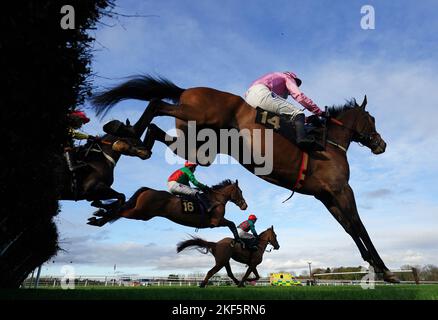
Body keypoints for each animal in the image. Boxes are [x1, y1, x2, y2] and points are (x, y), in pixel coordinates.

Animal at [87, 179, 248, 239]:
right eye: (240, 191)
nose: (244, 205)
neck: (216, 199)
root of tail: (149, 189)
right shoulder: (216, 222)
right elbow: (232, 224)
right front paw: (239, 240)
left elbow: (232, 224)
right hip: (141, 213)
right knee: (120, 210)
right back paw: (98, 216)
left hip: (141, 212)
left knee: (120, 207)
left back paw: (98, 212)